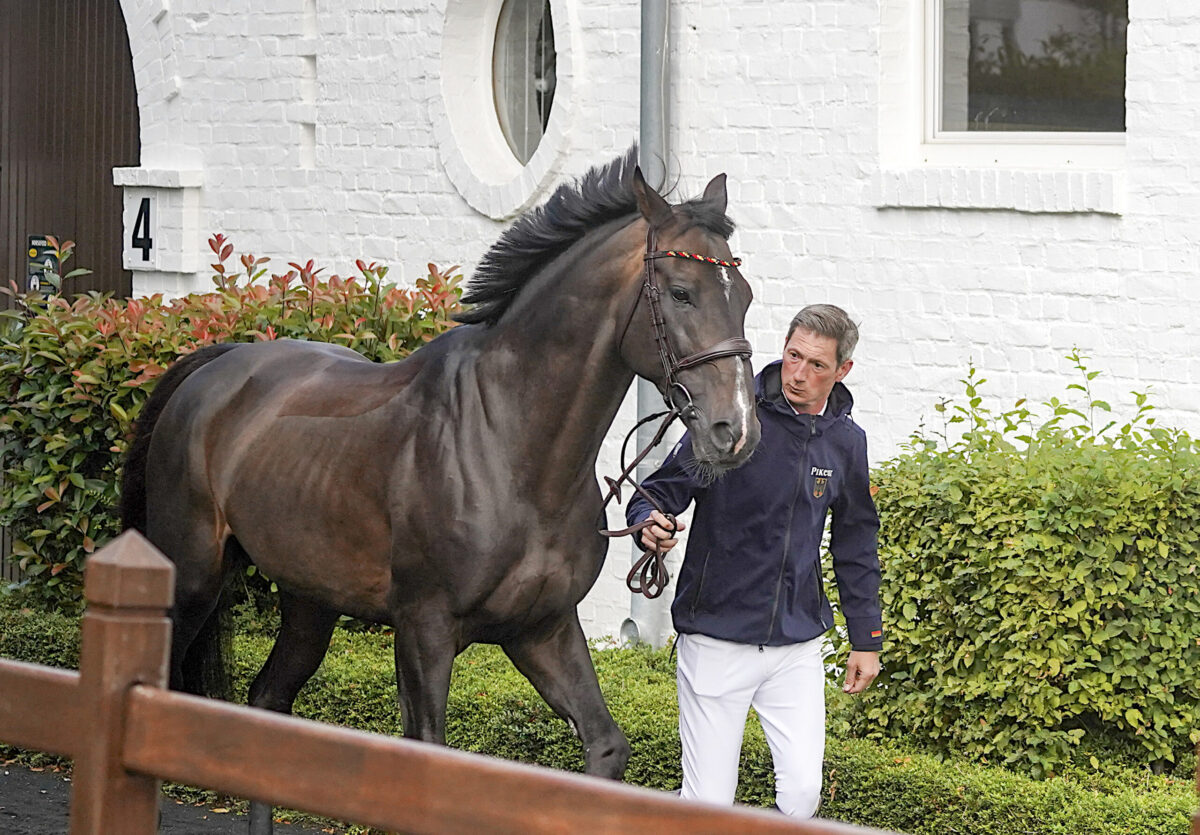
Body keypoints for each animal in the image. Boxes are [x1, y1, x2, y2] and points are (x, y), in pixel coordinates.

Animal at [119, 149, 761, 789]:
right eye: (681, 292)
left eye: (745, 295)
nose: (735, 430)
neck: (510, 451)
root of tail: (217, 364)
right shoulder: (424, 629)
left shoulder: (543, 627)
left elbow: (606, 746)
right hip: (191, 577)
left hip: (310, 599)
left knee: (268, 700)